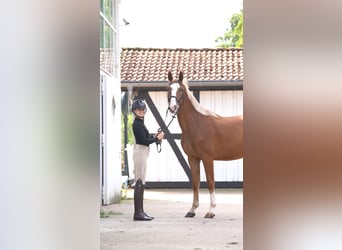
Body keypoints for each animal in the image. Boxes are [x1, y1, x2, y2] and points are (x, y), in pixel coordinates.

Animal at [166, 71, 242, 219]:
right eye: (168, 89)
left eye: (180, 90)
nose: (172, 108)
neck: (196, 125)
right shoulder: (192, 158)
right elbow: (195, 182)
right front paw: (192, 210)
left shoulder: (207, 158)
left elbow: (210, 181)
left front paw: (211, 211)